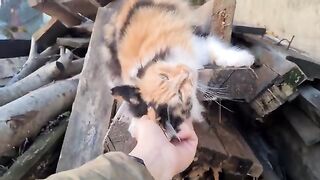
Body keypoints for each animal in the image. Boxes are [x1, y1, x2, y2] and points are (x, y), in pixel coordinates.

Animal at [105, 0, 255, 138]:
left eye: (164, 76)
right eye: (180, 94)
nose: (186, 72)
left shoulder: (197, 42)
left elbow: (217, 50)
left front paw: (245, 58)